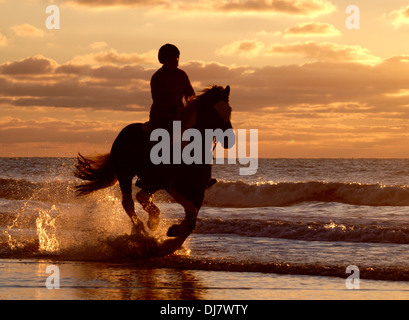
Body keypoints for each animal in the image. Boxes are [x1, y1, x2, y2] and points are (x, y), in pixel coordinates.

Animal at [73, 85, 233, 240]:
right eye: (213, 112)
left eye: (229, 110)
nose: (228, 139)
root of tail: (123, 133)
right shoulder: (171, 186)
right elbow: (190, 209)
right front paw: (173, 231)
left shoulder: (198, 190)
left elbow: (192, 216)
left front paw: (175, 233)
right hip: (126, 174)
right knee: (129, 203)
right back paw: (141, 228)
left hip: (150, 182)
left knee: (141, 196)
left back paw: (151, 222)